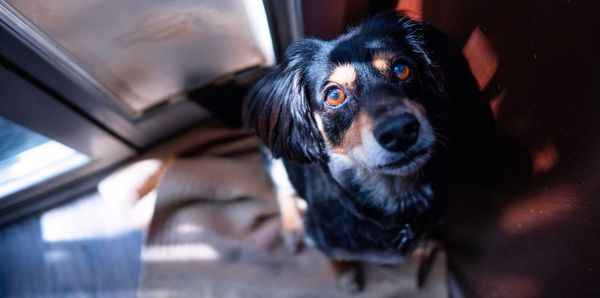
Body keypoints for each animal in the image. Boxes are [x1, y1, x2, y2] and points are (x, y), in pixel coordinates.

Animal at [241, 12, 500, 294]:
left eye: (402, 69)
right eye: (334, 95)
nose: (400, 131)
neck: (394, 199)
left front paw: (423, 253)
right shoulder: (320, 236)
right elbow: (333, 255)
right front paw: (345, 273)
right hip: (277, 163)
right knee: (283, 190)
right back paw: (291, 230)